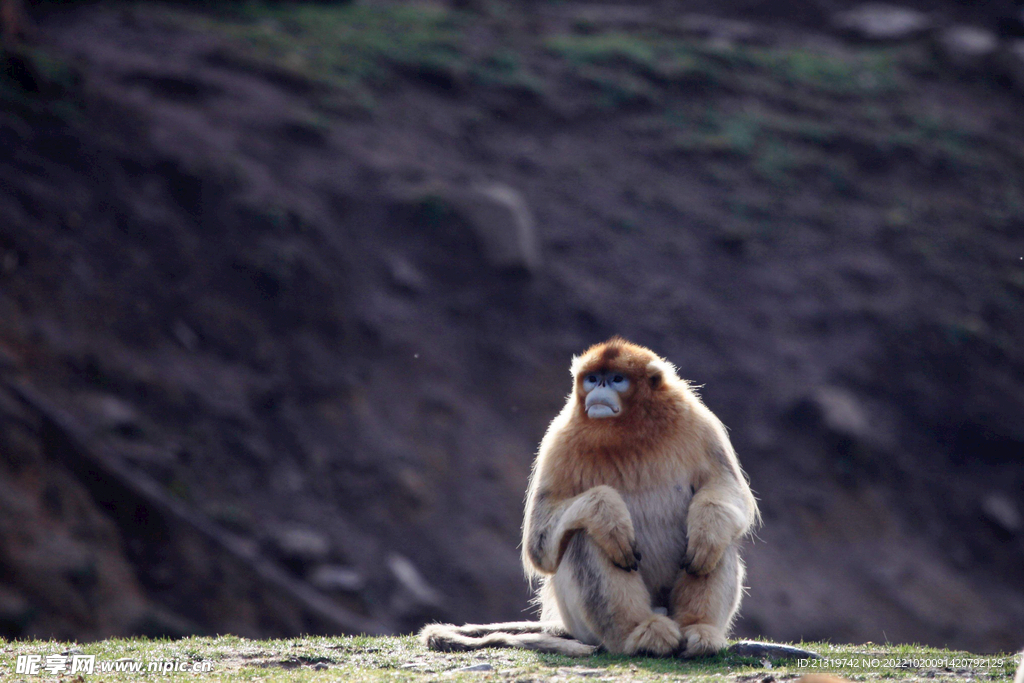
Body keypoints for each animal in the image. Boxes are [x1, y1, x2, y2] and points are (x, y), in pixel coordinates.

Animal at [417, 335, 761, 655]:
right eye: (593, 378)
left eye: (617, 378)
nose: (599, 389)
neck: (630, 431)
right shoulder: (558, 439)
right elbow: (539, 544)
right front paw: (608, 515)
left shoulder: (699, 423)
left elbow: (726, 492)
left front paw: (708, 529)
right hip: (581, 625)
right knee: (583, 537)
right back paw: (639, 634)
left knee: (717, 541)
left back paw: (698, 630)